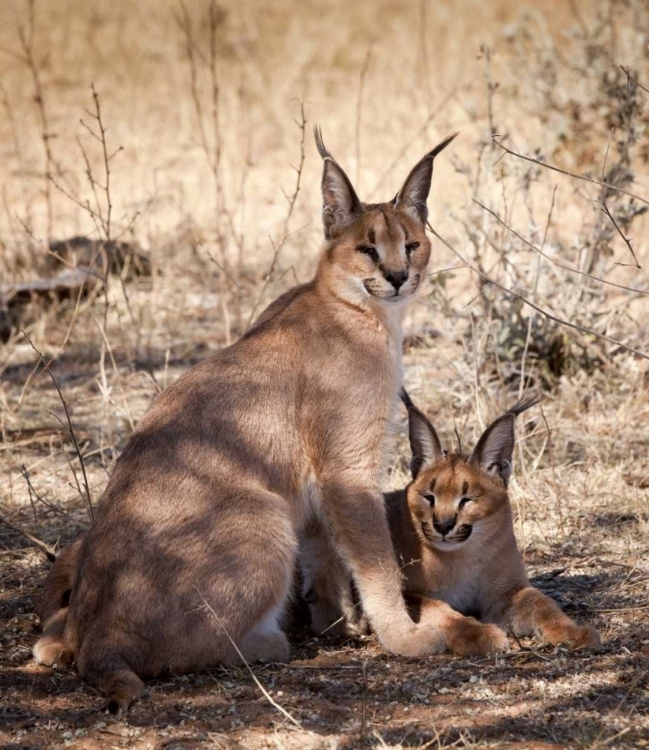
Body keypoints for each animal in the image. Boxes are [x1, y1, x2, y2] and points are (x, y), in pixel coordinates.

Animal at [30, 128, 456, 712]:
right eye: (367, 248)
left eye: (411, 244)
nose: (397, 276)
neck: (357, 309)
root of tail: (96, 639)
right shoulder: (348, 466)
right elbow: (376, 559)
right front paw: (404, 637)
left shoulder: (322, 478)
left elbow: (327, 551)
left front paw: (339, 623)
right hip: (265, 512)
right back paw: (267, 641)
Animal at [302, 394, 600, 656]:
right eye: (428, 497)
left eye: (467, 500)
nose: (443, 525)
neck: (462, 557)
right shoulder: (408, 593)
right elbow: (438, 608)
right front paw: (477, 634)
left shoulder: (508, 591)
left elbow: (543, 604)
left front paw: (575, 632)